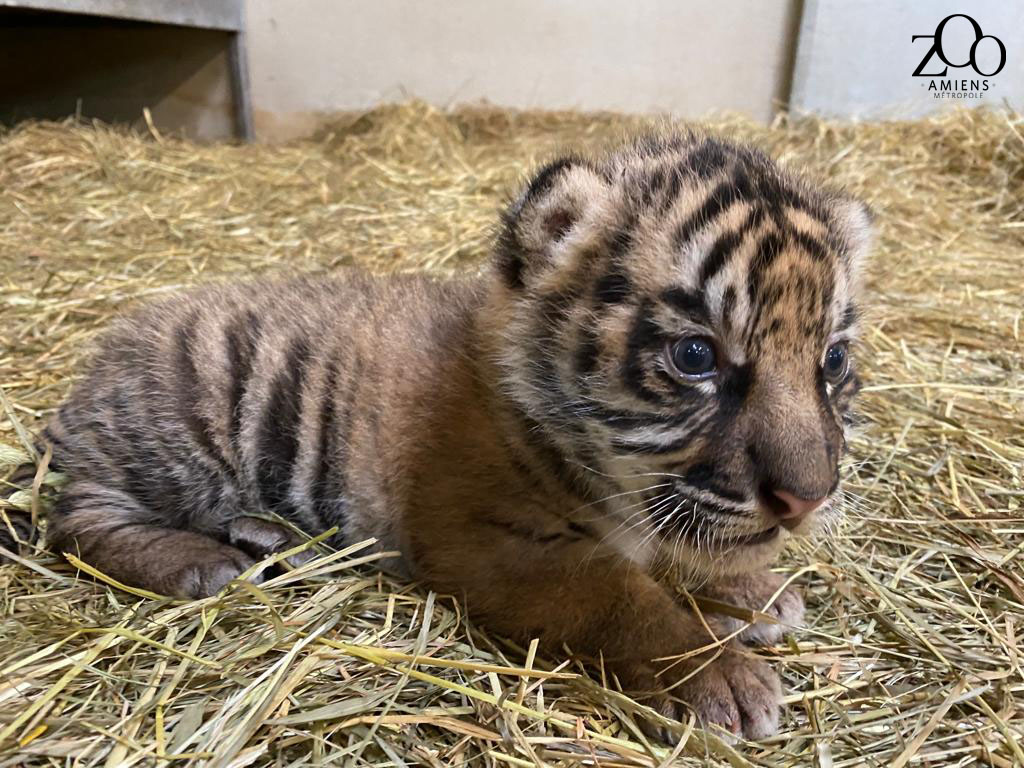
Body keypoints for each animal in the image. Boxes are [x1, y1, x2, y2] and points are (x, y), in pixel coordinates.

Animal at [11, 132, 871, 741]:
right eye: (695, 357)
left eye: (831, 361)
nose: (806, 500)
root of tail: (101, 362)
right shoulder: (493, 544)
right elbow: (622, 597)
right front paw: (722, 676)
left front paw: (751, 592)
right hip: (182, 420)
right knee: (77, 518)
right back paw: (201, 563)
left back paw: (264, 536)